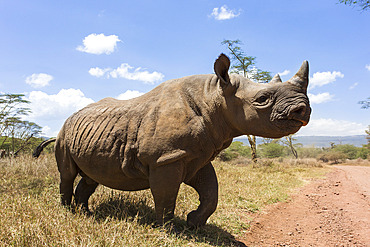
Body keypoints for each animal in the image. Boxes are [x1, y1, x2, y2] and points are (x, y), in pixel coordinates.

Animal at [34, 54, 310, 228]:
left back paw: (87, 213)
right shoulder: (165, 158)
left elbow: (211, 192)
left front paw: (193, 222)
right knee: (67, 173)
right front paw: (168, 229)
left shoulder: (196, 155)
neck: (214, 96)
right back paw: (68, 212)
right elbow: (166, 195)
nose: (302, 110)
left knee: (91, 176)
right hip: (63, 134)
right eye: (262, 99)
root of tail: (69, 119)